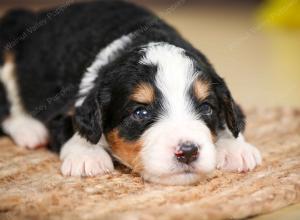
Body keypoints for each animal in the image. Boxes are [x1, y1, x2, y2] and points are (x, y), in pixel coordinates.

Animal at [0, 0, 262, 186]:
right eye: (140, 113)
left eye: (206, 107)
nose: (187, 152)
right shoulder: (63, 105)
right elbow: (73, 125)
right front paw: (87, 155)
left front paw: (236, 148)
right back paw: (29, 130)